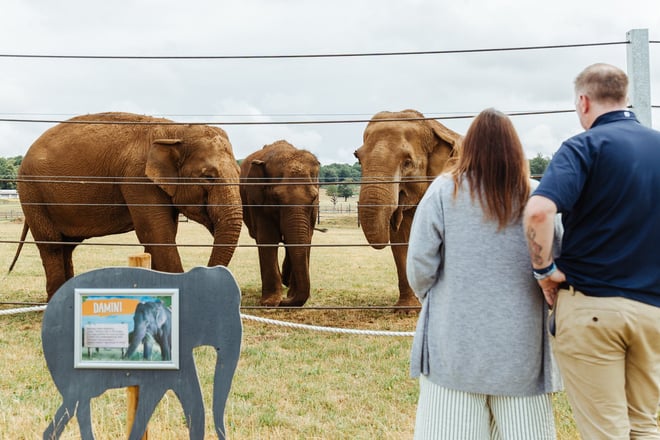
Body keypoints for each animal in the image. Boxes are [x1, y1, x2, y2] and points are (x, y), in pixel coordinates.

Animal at [9, 112, 243, 301]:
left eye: (240, 175)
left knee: (67, 245)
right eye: (208, 177)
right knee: (52, 245)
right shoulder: (137, 178)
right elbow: (157, 234)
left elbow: (160, 235)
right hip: (32, 193)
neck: (176, 130)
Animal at [240, 140, 320, 306]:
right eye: (277, 198)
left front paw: (288, 294)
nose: (284, 301)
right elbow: (268, 238)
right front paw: (270, 302)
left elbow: (307, 238)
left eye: (313, 197)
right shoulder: (257, 201)